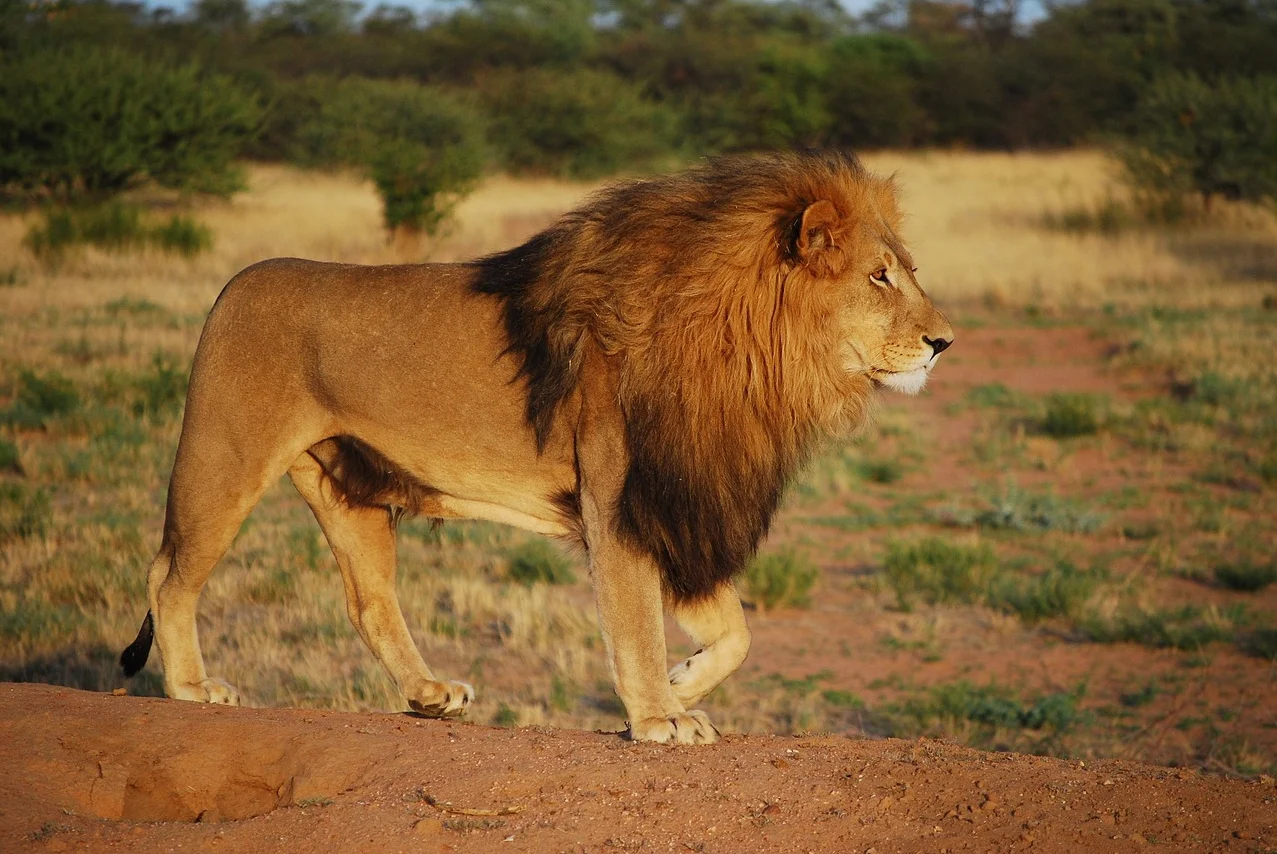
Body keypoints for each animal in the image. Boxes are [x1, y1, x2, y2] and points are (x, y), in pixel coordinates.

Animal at [120, 149, 955, 740]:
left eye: (907, 272)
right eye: (879, 277)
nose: (944, 341)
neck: (752, 356)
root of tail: (235, 283)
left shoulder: (675, 501)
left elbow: (737, 631)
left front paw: (682, 683)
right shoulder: (621, 500)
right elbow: (635, 620)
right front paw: (658, 717)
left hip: (346, 486)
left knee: (369, 602)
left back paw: (428, 695)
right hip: (224, 457)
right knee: (169, 573)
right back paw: (193, 687)